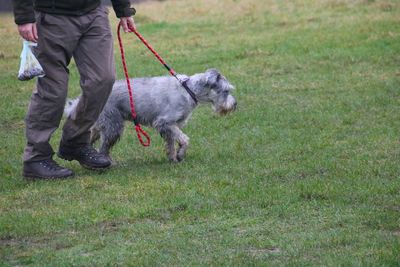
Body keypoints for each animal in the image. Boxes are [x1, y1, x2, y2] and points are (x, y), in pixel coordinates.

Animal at [64, 68, 236, 162]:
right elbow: (185, 139)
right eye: (226, 91)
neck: (189, 90)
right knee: (104, 148)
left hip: (102, 124)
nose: (235, 105)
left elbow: (172, 142)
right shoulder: (165, 122)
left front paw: (173, 157)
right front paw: (180, 154)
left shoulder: (170, 126)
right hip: (114, 126)